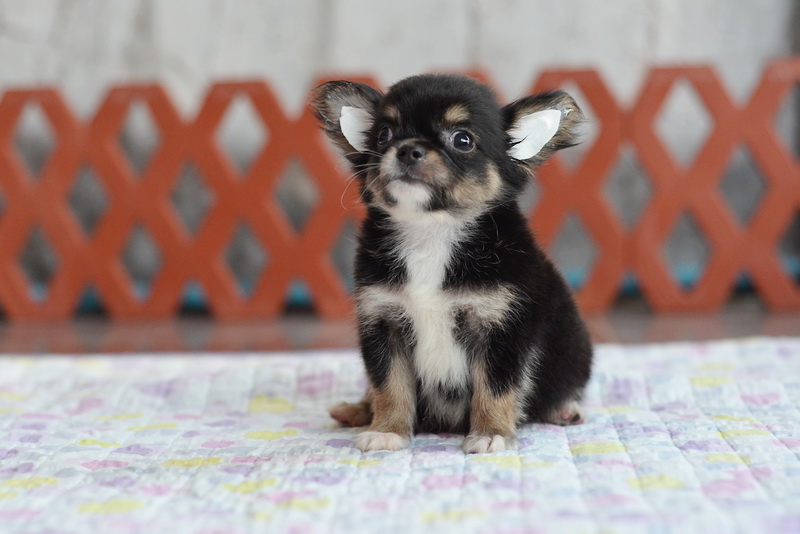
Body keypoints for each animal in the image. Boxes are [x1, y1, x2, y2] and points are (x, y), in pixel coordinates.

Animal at [312, 74, 592, 454]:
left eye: (462, 140)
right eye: (384, 135)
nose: (408, 149)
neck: (433, 230)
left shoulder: (501, 329)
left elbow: (495, 388)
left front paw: (491, 433)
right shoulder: (383, 322)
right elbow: (389, 386)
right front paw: (387, 430)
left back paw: (564, 409)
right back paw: (357, 410)